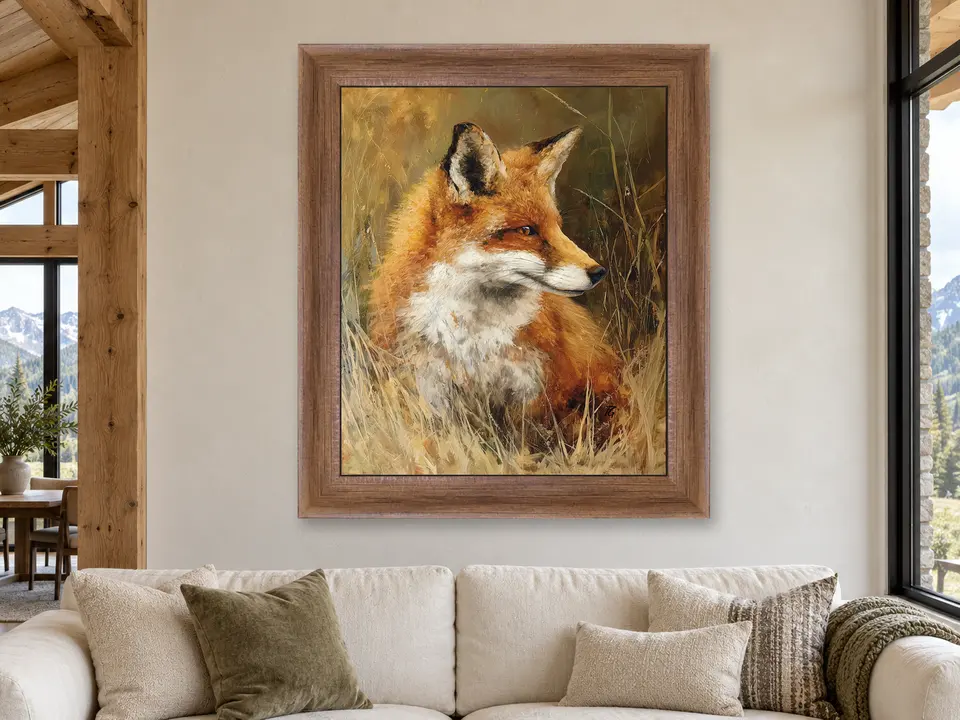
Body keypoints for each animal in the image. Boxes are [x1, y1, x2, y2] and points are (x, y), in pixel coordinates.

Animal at [368, 122, 622, 438]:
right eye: (526, 230)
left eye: (557, 227)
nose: (598, 271)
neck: (472, 339)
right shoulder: (428, 388)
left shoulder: (535, 396)